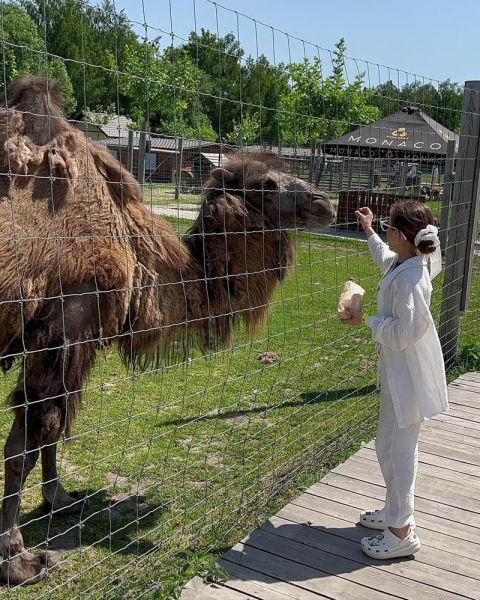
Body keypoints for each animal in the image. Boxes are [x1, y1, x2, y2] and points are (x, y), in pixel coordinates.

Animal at [0, 76, 334, 584]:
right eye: (266, 185)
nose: (325, 202)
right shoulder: (63, 322)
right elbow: (28, 440)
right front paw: (17, 559)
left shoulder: (77, 337)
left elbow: (54, 424)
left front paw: (61, 501)